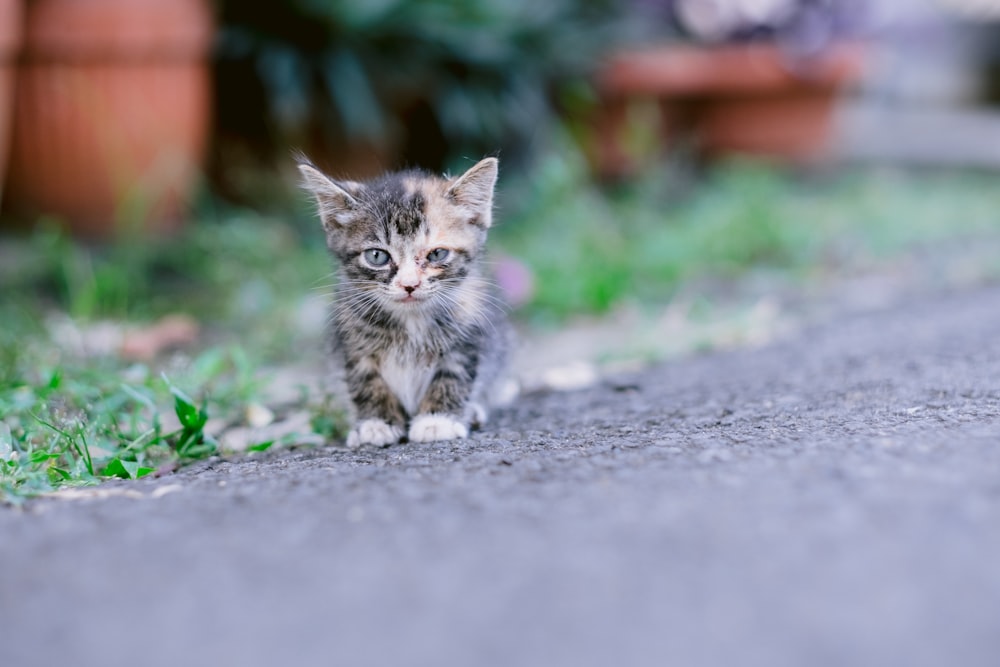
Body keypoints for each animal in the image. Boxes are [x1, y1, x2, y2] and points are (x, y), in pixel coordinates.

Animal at [296, 157, 512, 448]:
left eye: (437, 254)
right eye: (377, 256)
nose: (410, 285)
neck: (411, 321)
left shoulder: (469, 331)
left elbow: (454, 374)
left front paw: (437, 420)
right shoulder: (351, 339)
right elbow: (364, 380)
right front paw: (376, 423)